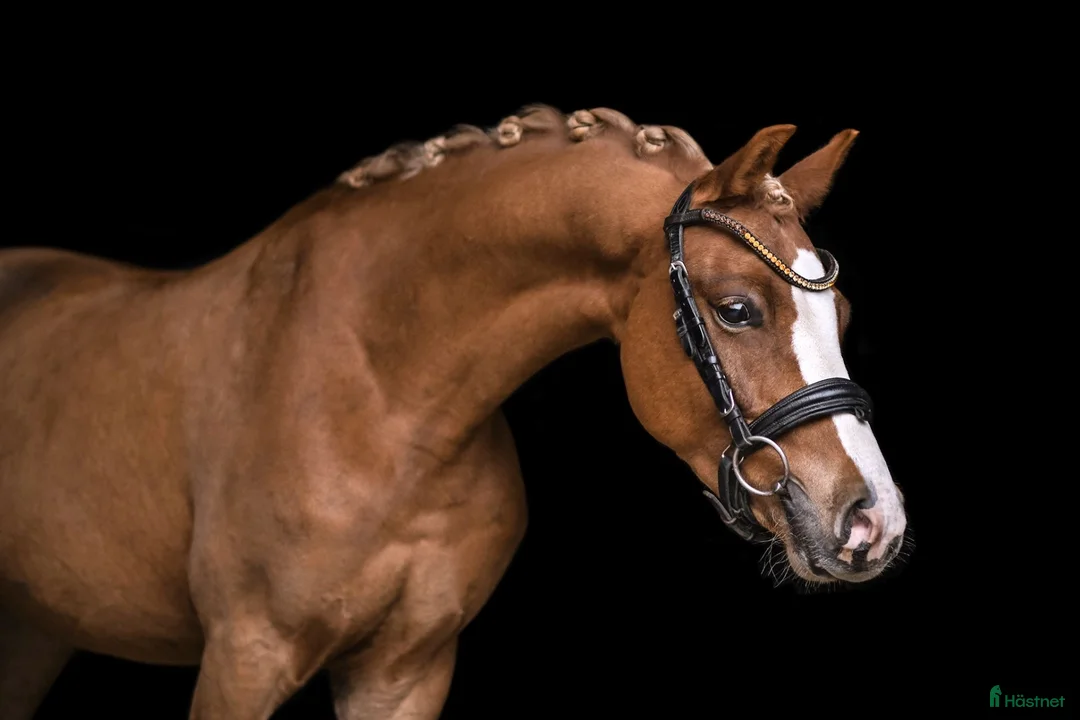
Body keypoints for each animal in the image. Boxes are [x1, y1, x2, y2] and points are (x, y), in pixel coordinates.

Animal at [0, 104, 908, 719]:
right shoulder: (243, 658)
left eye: (842, 315)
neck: (384, 402)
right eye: (737, 310)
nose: (874, 521)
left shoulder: (405, 671)